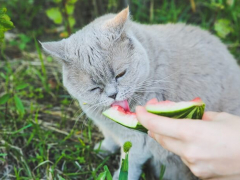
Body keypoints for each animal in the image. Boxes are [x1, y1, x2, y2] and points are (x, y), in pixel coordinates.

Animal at [41, 7, 240, 180]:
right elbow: (109, 139)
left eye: (120, 74)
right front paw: (102, 149)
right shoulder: (108, 128)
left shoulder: (137, 142)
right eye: (94, 88)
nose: (113, 94)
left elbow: (128, 167)